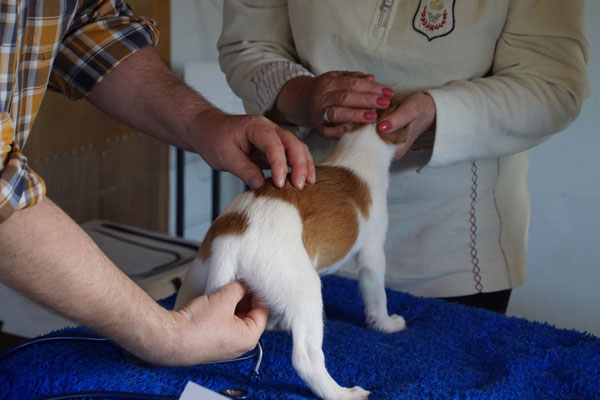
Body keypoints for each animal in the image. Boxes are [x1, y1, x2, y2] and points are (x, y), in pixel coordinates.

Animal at [175, 104, 408, 400]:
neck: (359, 148)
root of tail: (231, 240)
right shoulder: (372, 252)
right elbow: (377, 297)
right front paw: (386, 324)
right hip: (306, 287)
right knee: (306, 358)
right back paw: (343, 393)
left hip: (197, 277)